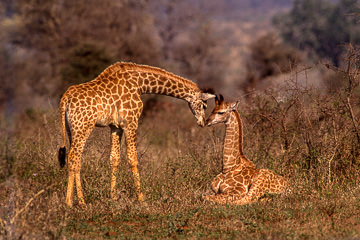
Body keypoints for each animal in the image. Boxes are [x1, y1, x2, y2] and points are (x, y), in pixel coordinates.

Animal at [56, 61, 214, 206]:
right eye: (204, 105)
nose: (202, 122)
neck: (140, 85)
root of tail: (65, 98)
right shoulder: (131, 122)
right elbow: (133, 158)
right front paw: (141, 197)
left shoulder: (116, 126)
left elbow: (114, 158)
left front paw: (113, 197)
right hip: (83, 127)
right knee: (74, 157)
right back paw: (75, 202)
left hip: (71, 129)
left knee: (73, 157)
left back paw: (76, 200)